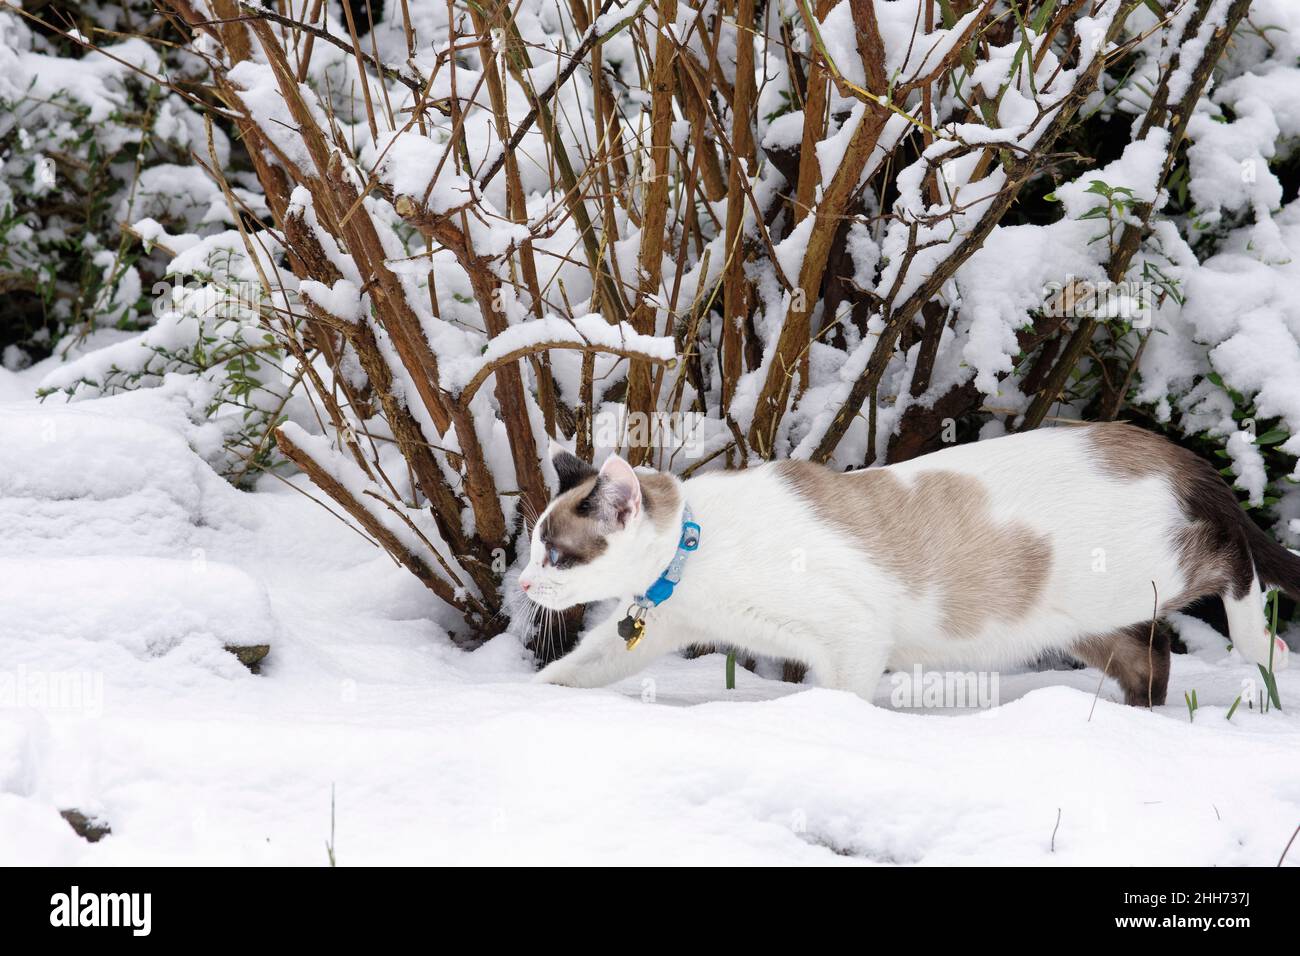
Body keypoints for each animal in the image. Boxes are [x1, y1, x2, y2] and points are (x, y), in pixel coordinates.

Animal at [514, 424, 1289, 702]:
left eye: (557, 554)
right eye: (532, 546)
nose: (522, 581)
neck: (690, 555)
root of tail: (1159, 444)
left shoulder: (852, 639)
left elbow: (838, 701)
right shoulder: (650, 638)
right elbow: (568, 673)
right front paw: (519, 705)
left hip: (1150, 570)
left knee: (1235, 561)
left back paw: (1266, 647)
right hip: (1083, 622)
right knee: (1149, 662)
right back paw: (1141, 719)